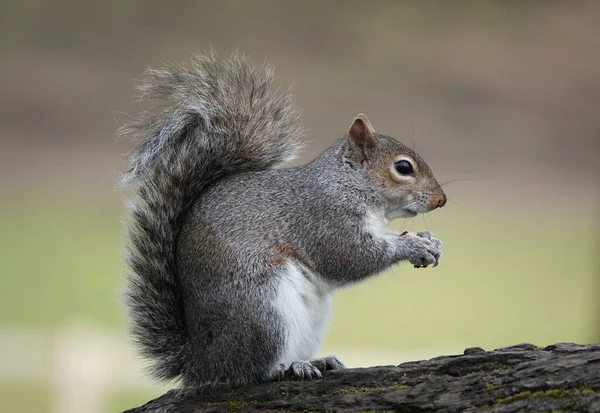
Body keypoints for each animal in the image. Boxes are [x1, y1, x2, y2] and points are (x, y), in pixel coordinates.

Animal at [119, 51, 446, 386]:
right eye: (403, 168)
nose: (441, 200)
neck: (347, 183)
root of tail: (203, 363)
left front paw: (428, 241)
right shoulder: (324, 218)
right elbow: (350, 257)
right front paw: (414, 247)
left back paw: (315, 361)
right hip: (264, 310)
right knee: (249, 372)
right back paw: (286, 368)